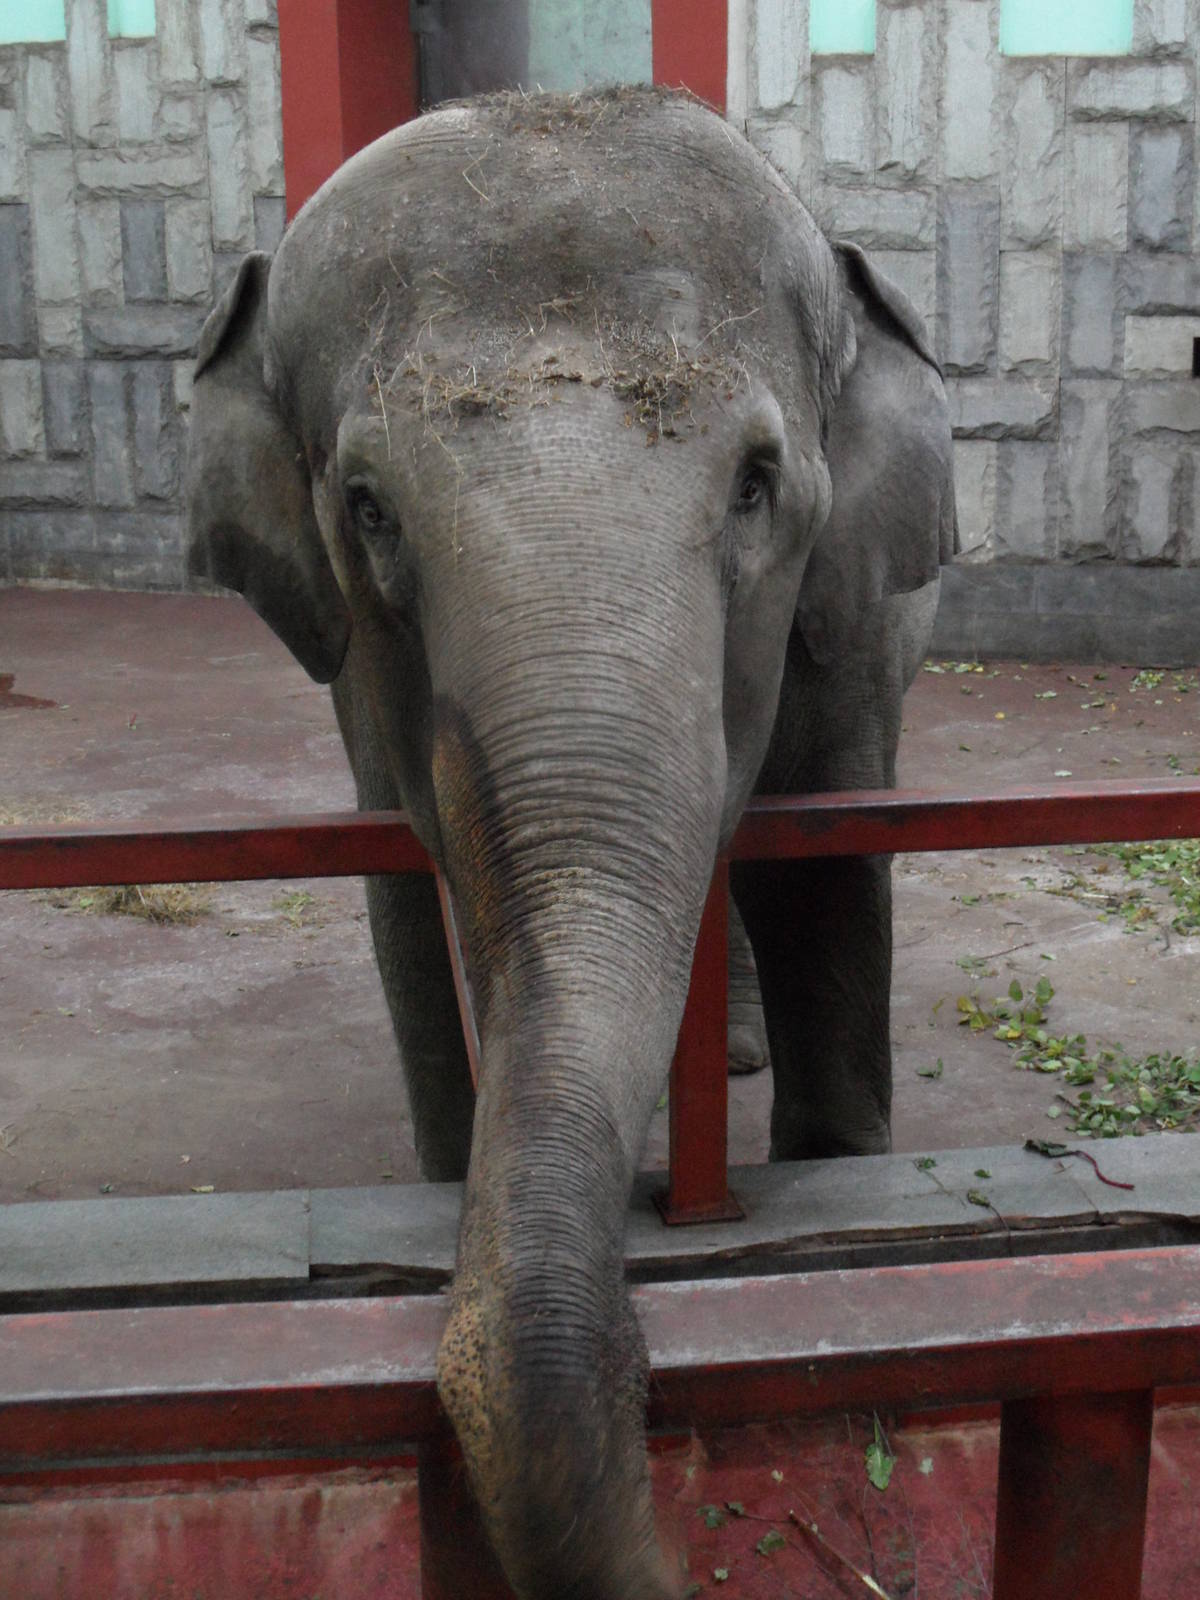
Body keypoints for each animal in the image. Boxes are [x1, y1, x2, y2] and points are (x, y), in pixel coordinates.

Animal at [187, 89, 954, 1600]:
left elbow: (828, 879)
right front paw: (448, 1180)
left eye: (760, 483)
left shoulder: (844, 624)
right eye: (367, 507)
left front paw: (844, 1185)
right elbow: (416, 907)